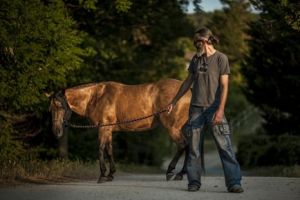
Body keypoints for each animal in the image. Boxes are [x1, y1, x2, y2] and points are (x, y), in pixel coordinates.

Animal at [48, 78, 190, 183]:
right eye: (50, 108)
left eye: (60, 106)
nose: (56, 131)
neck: (96, 97)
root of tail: (188, 92)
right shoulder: (108, 130)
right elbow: (109, 150)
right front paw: (110, 174)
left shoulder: (103, 128)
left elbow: (101, 149)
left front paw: (102, 175)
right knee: (188, 146)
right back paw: (181, 174)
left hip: (172, 128)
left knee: (182, 145)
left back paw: (171, 172)